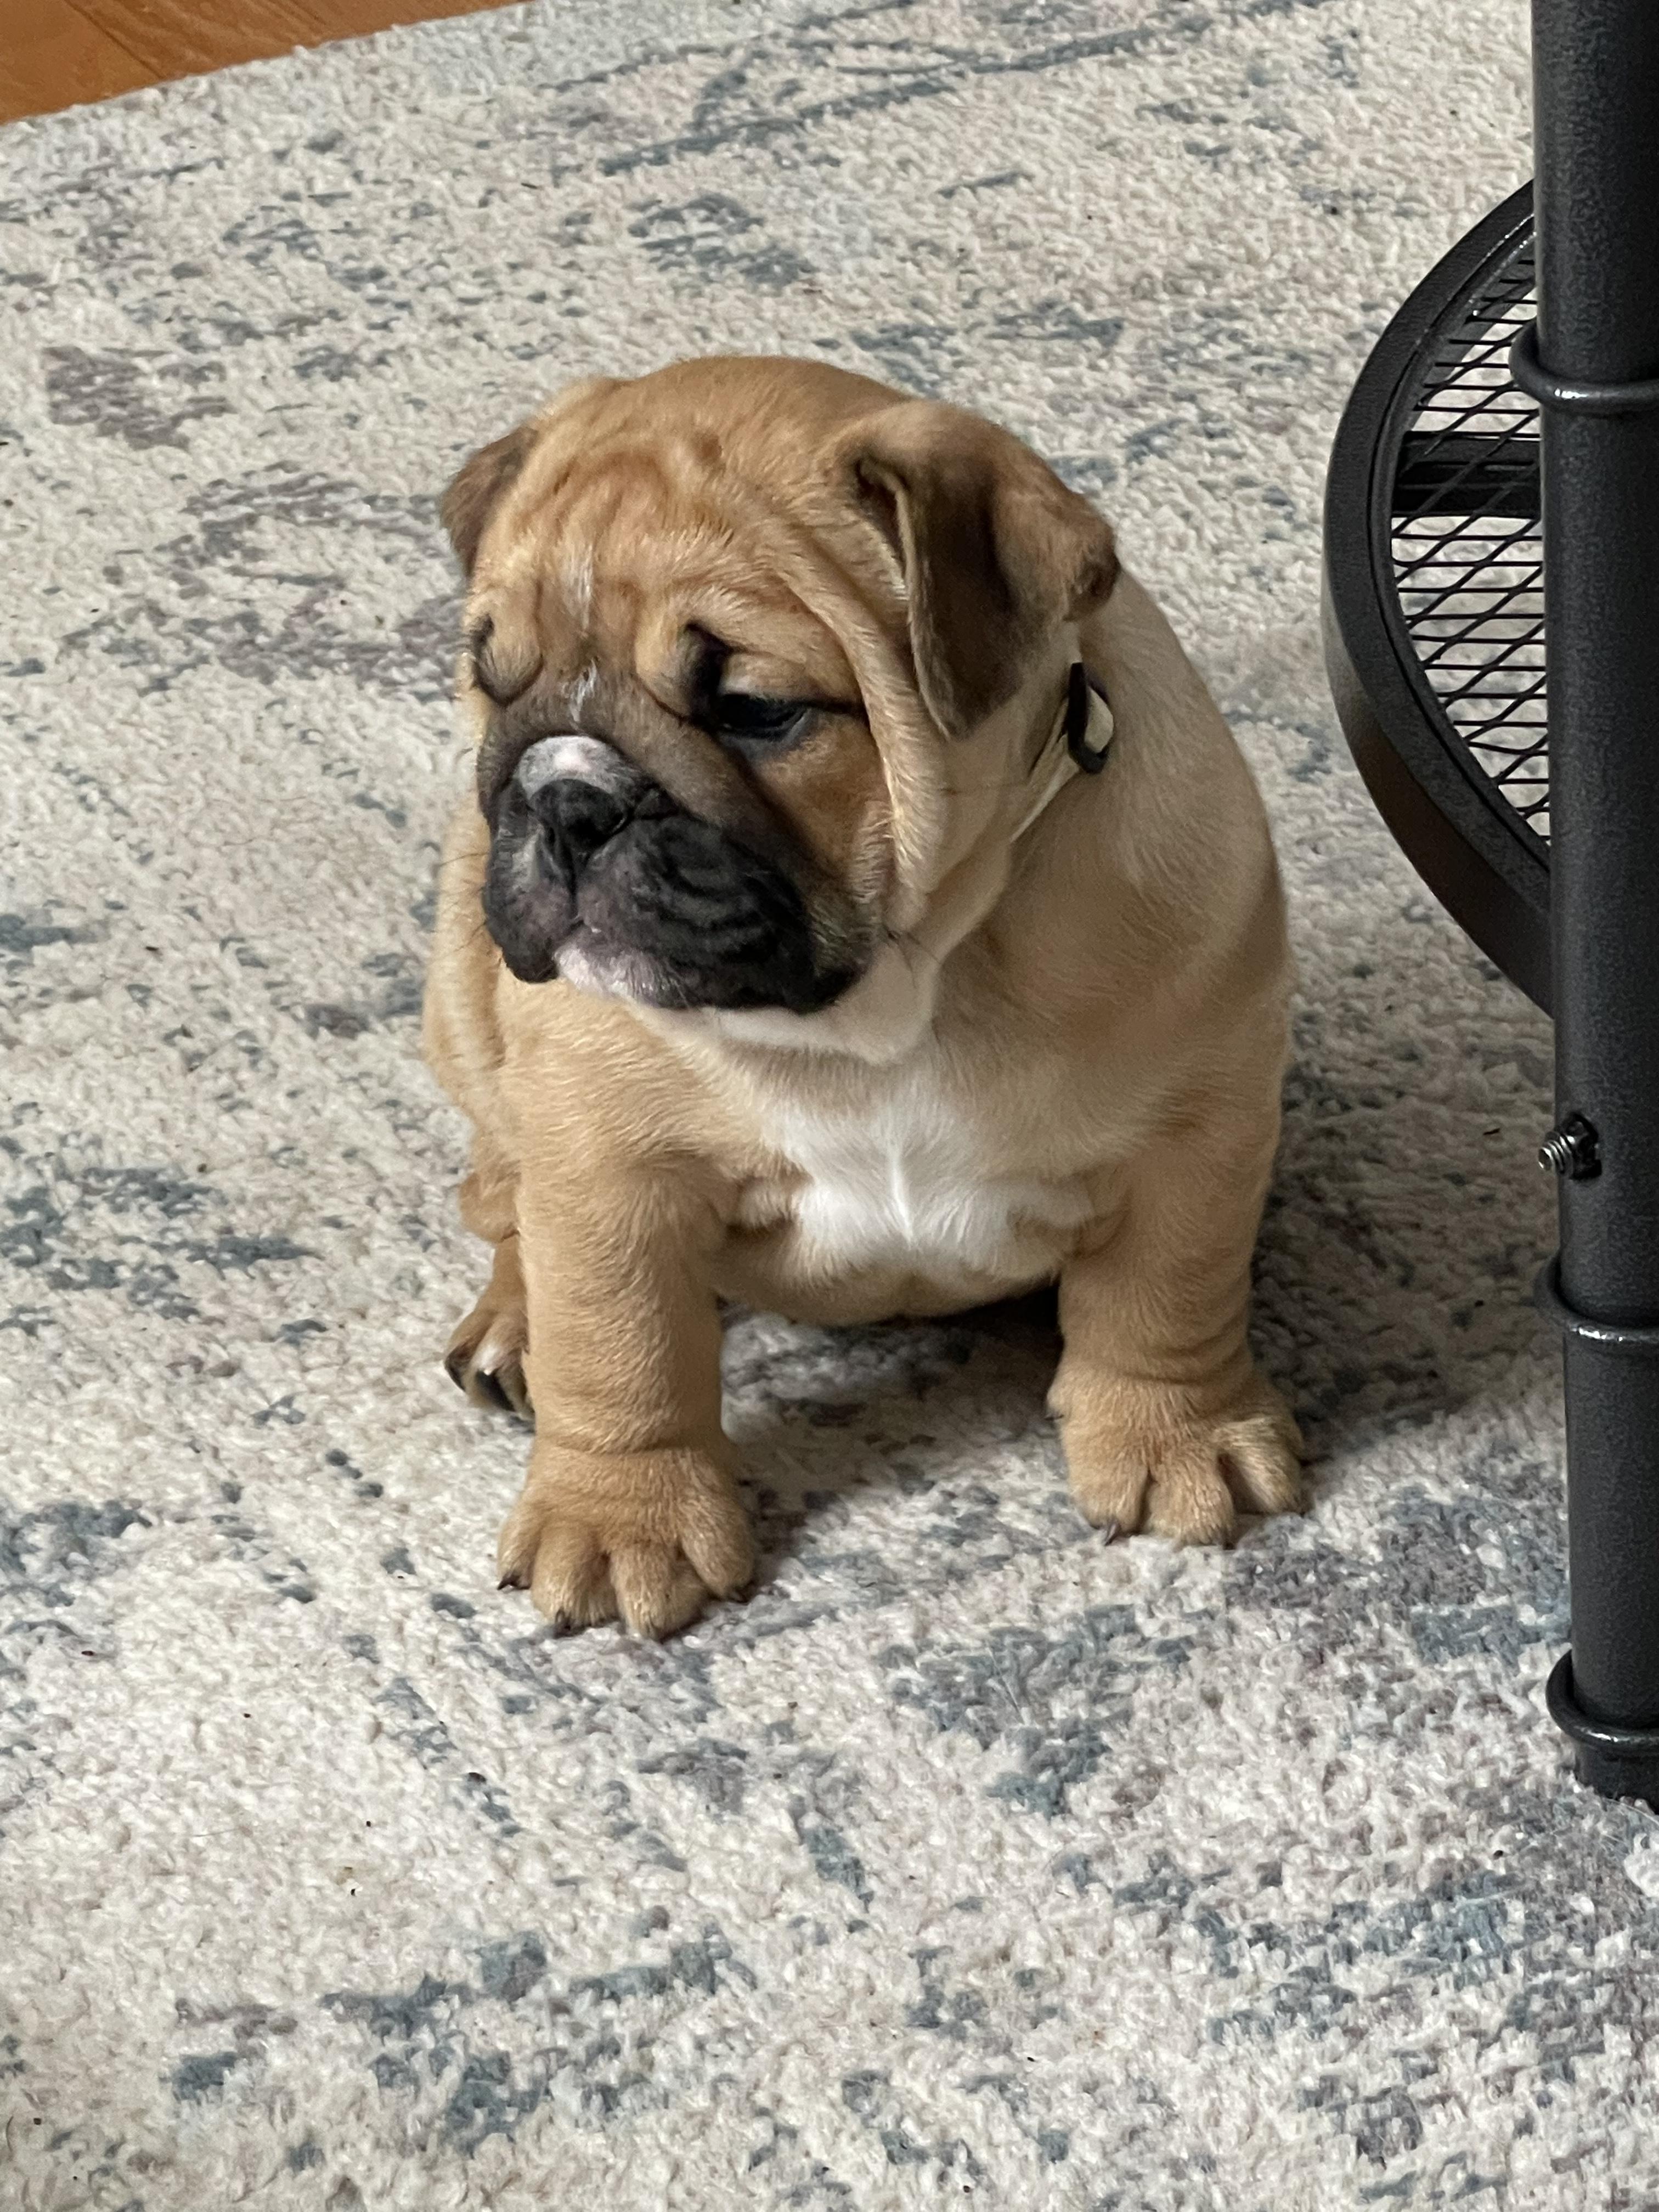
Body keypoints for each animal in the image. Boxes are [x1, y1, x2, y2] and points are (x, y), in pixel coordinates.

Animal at [422, 356, 1302, 1637]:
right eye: (495, 684)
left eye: (756, 710)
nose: (566, 798)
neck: (888, 986)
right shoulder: (606, 1171)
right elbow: (622, 1345)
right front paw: (619, 1518)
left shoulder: (1195, 1135)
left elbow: (1168, 1300)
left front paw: (1180, 1437)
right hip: (462, 1001)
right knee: (498, 1195)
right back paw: (513, 1320)